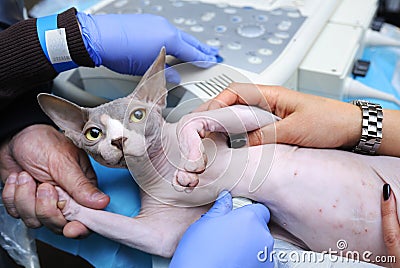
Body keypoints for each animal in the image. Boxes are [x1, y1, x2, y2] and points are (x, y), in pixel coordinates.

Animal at [38, 48, 400, 264]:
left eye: (138, 115)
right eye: (93, 134)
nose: (119, 140)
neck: (157, 168)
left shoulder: (263, 116)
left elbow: (193, 121)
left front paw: (191, 163)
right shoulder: (160, 234)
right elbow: (132, 230)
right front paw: (62, 202)